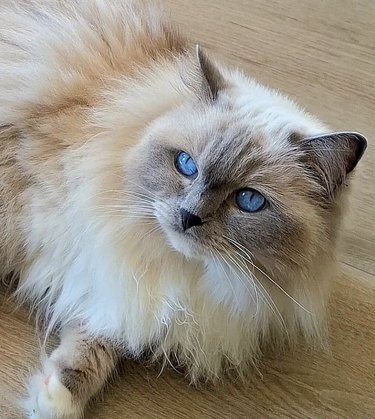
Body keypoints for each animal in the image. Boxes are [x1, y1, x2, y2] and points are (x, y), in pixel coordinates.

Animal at [0, 0, 368, 419]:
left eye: (249, 201)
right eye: (186, 165)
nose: (188, 217)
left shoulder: (121, 289)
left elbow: (96, 347)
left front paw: (55, 401)